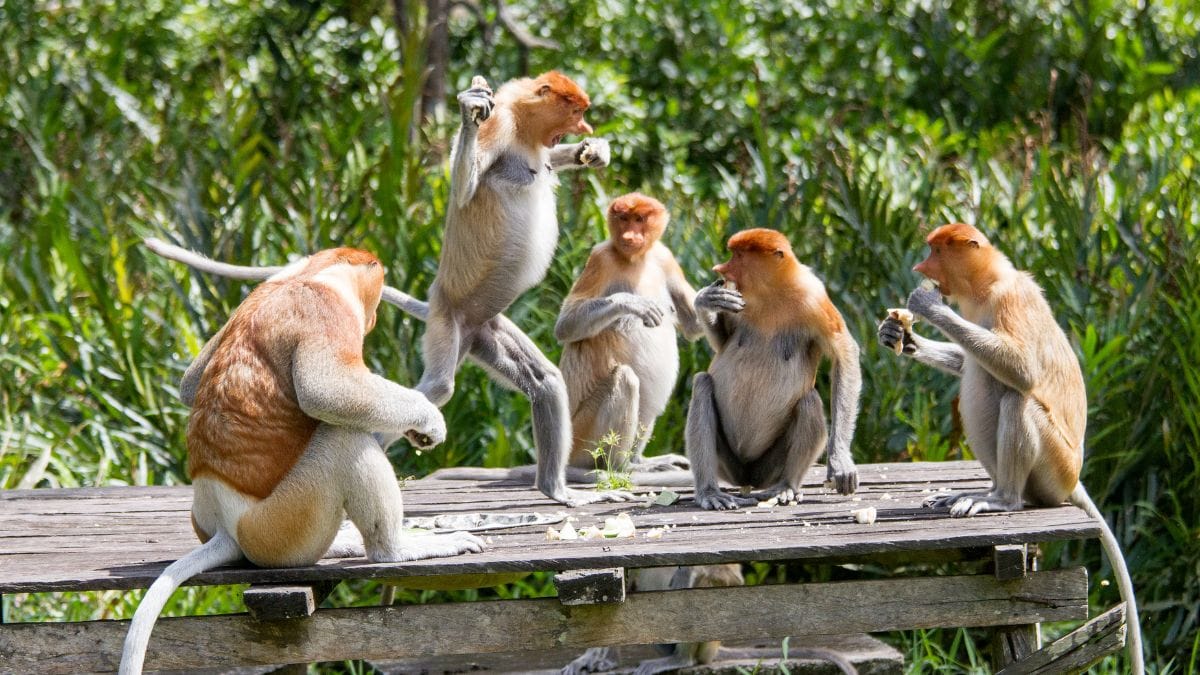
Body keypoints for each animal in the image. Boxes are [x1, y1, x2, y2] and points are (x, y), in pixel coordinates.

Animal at [118, 247, 482, 672]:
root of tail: (225, 524)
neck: (313, 274)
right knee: (342, 438)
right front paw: (429, 422)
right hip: (282, 526)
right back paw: (396, 549)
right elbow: (325, 391)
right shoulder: (325, 312)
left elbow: (190, 383)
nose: (373, 319)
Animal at [686, 228, 864, 506]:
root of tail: (748, 476)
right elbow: (722, 341)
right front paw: (707, 299)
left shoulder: (815, 299)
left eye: (738, 256)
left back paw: (785, 486)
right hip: (727, 464)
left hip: (770, 466)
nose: (719, 269)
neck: (771, 292)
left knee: (809, 401)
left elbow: (844, 355)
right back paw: (710, 492)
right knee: (703, 384)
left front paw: (839, 461)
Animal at [883, 223, 1142, 667]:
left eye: (936, 251)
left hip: (1055, 467)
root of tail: (1074, 478)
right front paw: (901, 336)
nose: (920, 267)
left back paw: (1001, 499)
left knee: (1016, 397)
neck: (987, 284)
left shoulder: (1009, 300)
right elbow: (964, 361)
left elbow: (1021, 369)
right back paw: (977, 492)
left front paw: (926, 305)